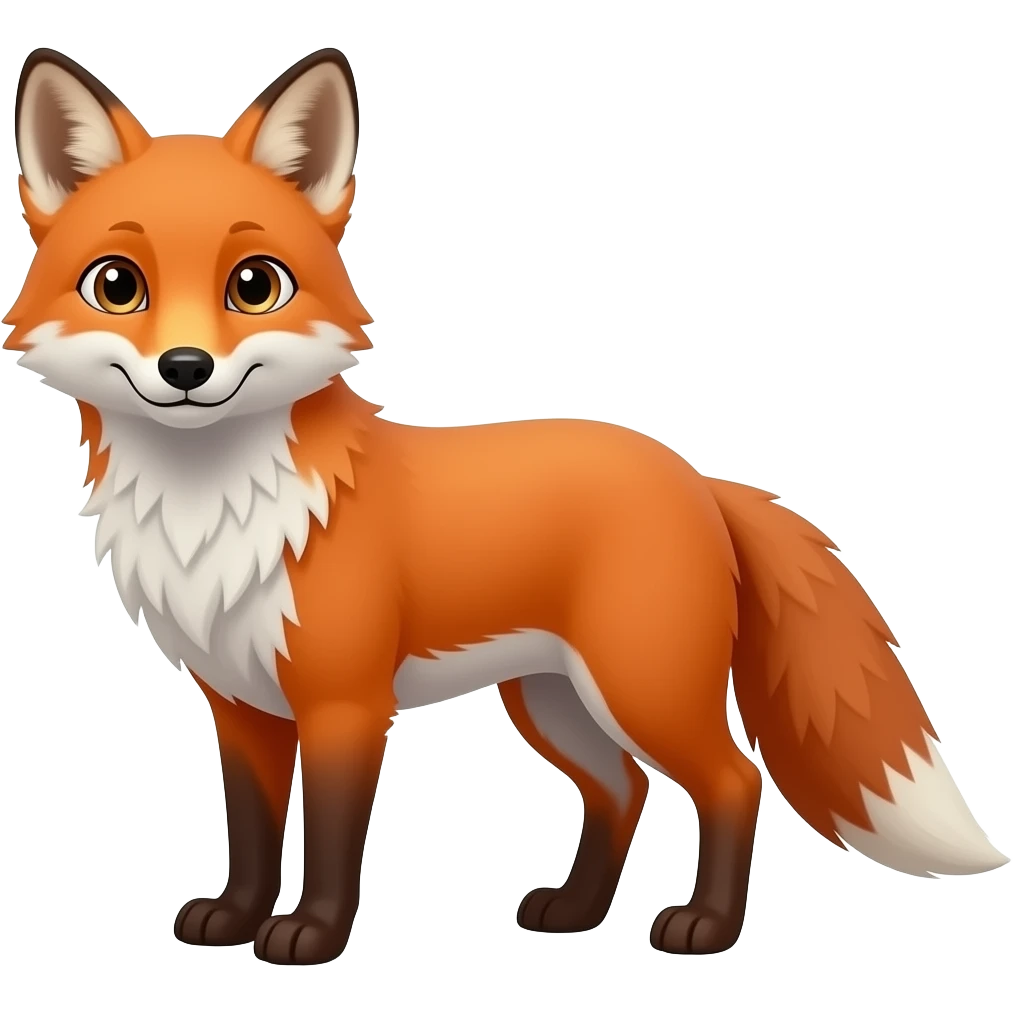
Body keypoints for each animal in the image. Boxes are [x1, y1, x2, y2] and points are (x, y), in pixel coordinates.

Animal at [5, 44, 1008, 967]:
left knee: (731, 780)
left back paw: (704, 928)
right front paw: (235, 918)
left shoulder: (344, 702)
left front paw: (312, 935)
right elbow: (249, 833)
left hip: (641, 685)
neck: (212, 509)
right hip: (553, 699)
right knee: (622, 790)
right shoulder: (241, 703)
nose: (186, 369)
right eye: (117, 284)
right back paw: (575, 911)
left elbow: (329, 839)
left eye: (254, 284)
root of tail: (695, 476)